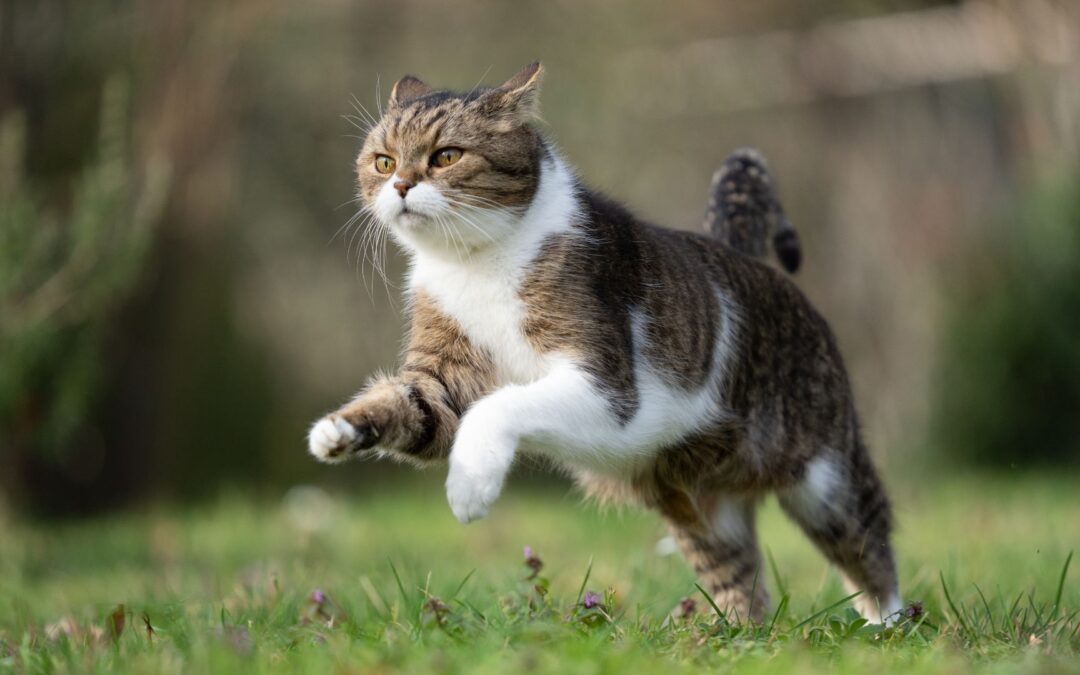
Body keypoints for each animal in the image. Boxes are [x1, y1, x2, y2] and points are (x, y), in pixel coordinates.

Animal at [308, 61, 898, 622]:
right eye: (384, 162)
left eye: (446, 156)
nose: (401, 186)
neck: (475, 264)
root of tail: (740, 254)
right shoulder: (443, 378)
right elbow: (413, 406)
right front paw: (338, 429)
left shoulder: (603, 386)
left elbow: (498, 406)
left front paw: (470, 489)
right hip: (707, 512)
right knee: (742, 580)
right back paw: (733, 637)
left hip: (827, 479)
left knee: (870, 549)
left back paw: (888, 628)